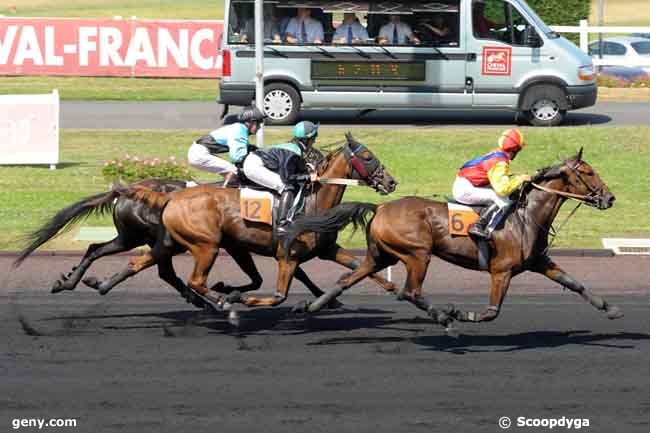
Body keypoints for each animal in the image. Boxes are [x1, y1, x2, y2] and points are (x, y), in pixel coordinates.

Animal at [103, 133, 394, 308]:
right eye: (367, 156)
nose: (391, 182)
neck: (312, 204)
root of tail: (172, 197)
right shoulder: (286, 256)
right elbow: (278, 294)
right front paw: (237, 296)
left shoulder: (325, 249)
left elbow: (358, 265)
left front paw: (389, 286)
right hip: (205, 246)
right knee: (188, 277)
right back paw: (219, 300)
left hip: (174, 242)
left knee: (140, 262)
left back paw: (101, 283)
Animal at [286, 148, 620, 324]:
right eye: (588, 173)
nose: (610, 198)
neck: (526, 216)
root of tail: (380, 207)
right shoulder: (501, 270)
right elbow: (491, 311)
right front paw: (462, 313)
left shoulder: (539, 261)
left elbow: (574, 283)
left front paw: (610, 307)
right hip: (417, 254)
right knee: (410, 292)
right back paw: (444, 314)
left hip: (380, 256)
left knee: (347, 279)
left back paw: (310, 306)